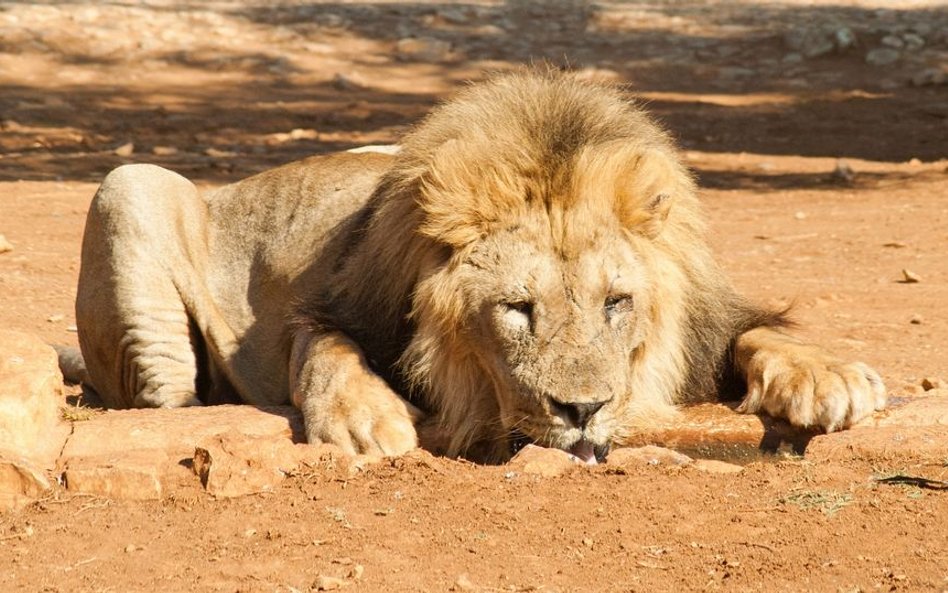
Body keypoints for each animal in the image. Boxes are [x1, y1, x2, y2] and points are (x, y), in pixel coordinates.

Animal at [70, 70, 884, 462]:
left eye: (616, 303)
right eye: (518, 309)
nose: (583, 411)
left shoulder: (708, 330)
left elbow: (760, 335)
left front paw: (833, 379)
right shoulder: (346, 303)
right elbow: (324, 347)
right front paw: (366, 421)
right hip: (130, 185)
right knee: (167, 400)